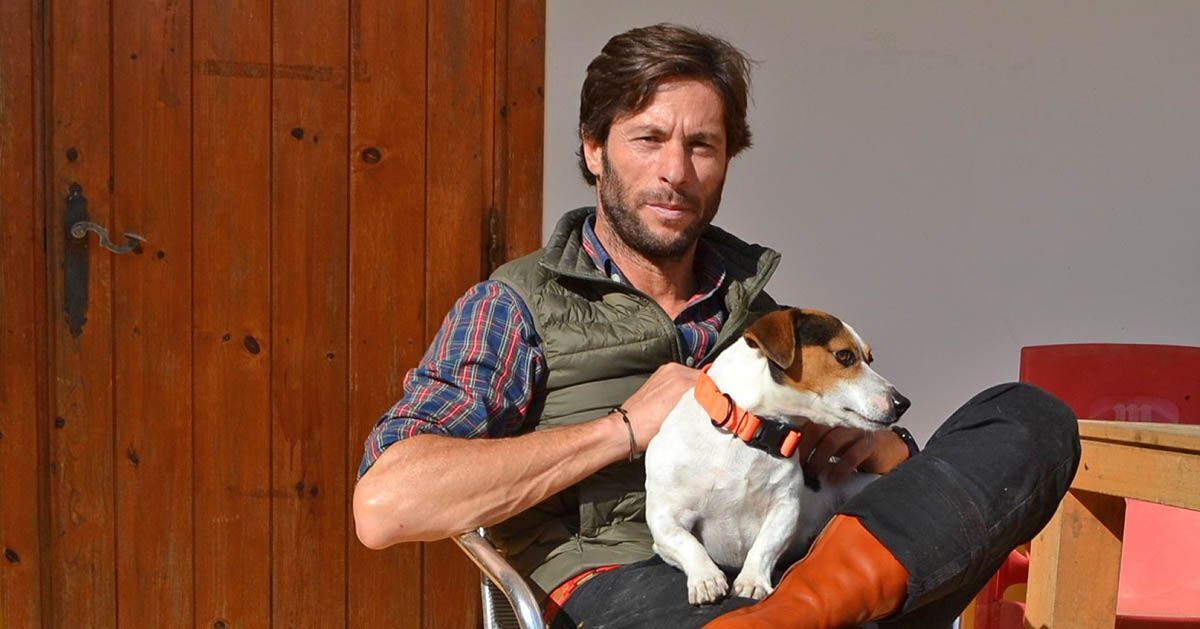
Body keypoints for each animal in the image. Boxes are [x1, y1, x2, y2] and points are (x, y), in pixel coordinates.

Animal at [644, 307, 910, 605]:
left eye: (869, 358)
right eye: (844, 356)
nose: (903, 403)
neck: (748, 431)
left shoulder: (785, 507)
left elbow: (764, 546)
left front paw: (751, 581)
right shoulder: (663, 520)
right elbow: (687, 543)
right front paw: (706, 579)